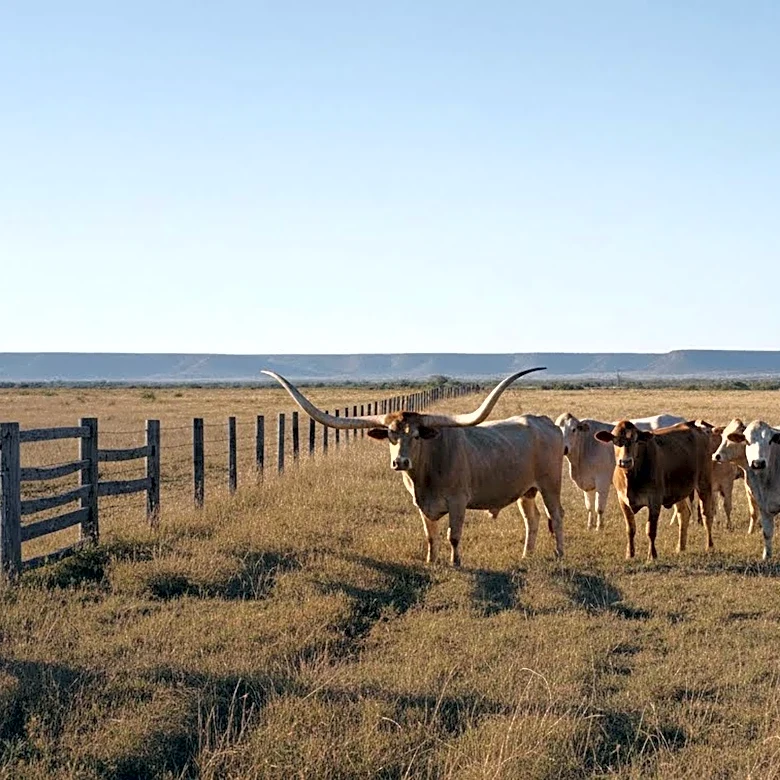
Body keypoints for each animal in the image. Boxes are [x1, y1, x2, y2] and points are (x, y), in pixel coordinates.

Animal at [261, 368, 566, 566]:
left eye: (417, 435)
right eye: (391, 436)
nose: (400, 462)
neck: (427, 471)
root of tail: (545, 422)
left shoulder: (458, 501)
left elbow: (453, 536)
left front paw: (456, 563)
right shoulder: (421, 504)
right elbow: (430, 536)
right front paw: (431, 561)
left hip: (550, 485)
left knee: (557, 515)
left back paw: (560, 554)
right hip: (526, 490)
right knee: (533, 519)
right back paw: (526, 555)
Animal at [556, 412, 685, 530]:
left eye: (573, 429)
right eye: (558, 429)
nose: (564, 448)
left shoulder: (602, 481)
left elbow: (599, 507)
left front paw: (599, 527)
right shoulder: (588, 483)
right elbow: (589, 506)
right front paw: (589, 526)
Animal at [594, 420, 714, 560]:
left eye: (636, 440)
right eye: (615, 440)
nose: (625, 461)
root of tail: (696, 427)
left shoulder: (654, 501)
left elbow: (650, 530)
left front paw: (652, 554)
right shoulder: (623, 501)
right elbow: (630, 528)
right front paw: (630, 554)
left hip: (704, 483)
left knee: (707, 515)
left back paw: (709, 546)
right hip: (679, 492)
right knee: (683, 514)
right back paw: (680, 547)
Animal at [714, 420, 780, 559]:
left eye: (770, 440)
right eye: (746, 440)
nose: (758, 463)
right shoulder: (761, 503)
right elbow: (766, 532)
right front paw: (766, 557)